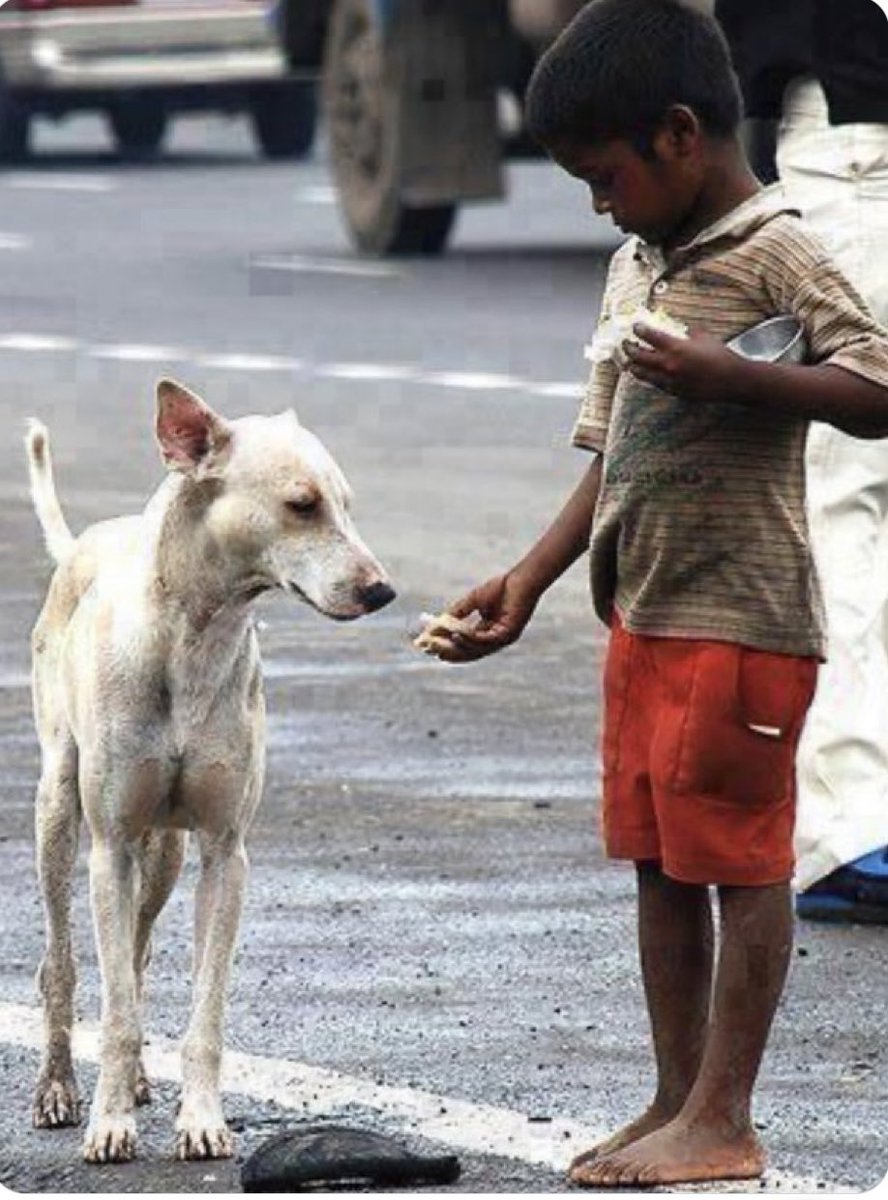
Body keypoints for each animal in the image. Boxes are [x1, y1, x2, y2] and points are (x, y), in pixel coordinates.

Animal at [25, 376, 393, 1161]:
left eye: (346, 502)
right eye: (302, 504)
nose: (383, 592)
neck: (191, 640)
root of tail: (87, 541)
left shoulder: (226, 853)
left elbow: (204, 1007)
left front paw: (199, 1119)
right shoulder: (110, 848)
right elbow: (116, 1008)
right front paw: (108, 1126)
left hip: (164, 851)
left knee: (134, 954)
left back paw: (132, 1078)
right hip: (59, 812)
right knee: (63, 964)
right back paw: (58, 1086)